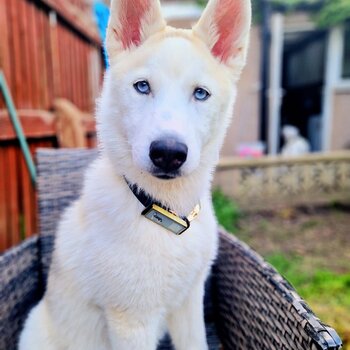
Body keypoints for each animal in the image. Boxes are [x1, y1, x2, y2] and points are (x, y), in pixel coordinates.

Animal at [19, 0, 250, 348]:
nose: (168, 154)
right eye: (142, 87)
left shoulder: (190, 303)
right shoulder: (131, 323)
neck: (166, 213)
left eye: (201, 94)